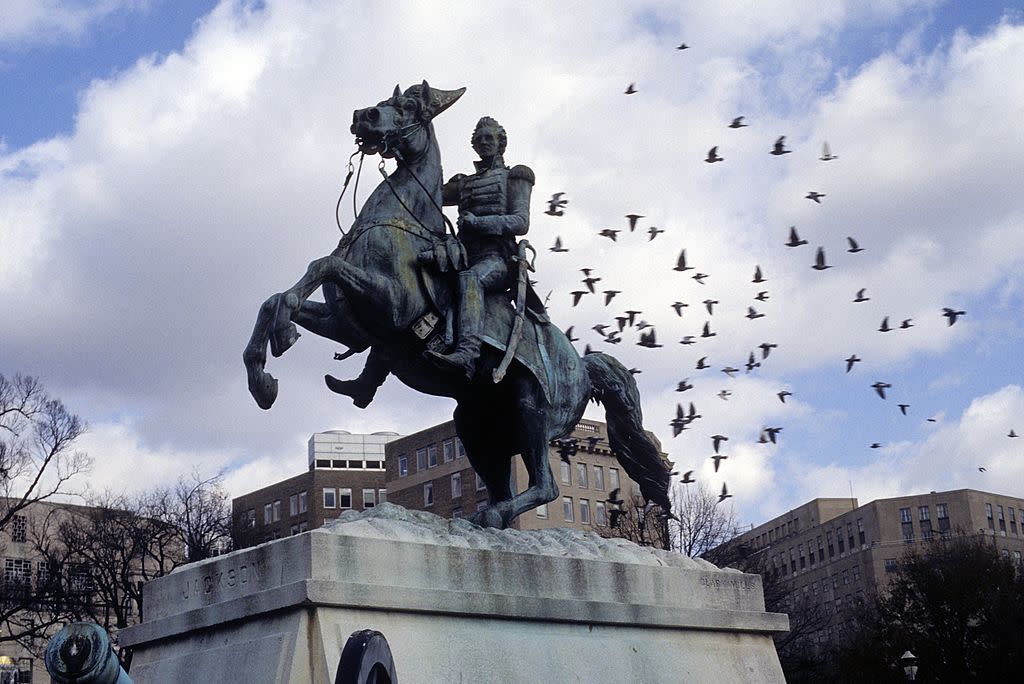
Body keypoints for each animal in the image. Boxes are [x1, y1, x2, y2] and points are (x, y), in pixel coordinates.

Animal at [240, 81, 671, 528]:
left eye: (409, 105)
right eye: (386, 100)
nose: (363, 116)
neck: (400, 223)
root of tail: (581, 364)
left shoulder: (391, 305)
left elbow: (321, 266)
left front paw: (282, 336)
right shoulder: (348, 325)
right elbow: (275, 299)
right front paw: (262, 378)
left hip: (531, 412)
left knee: (545, 485)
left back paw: (492, 514)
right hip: (477, 426)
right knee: (502, 482)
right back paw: (482, 516)